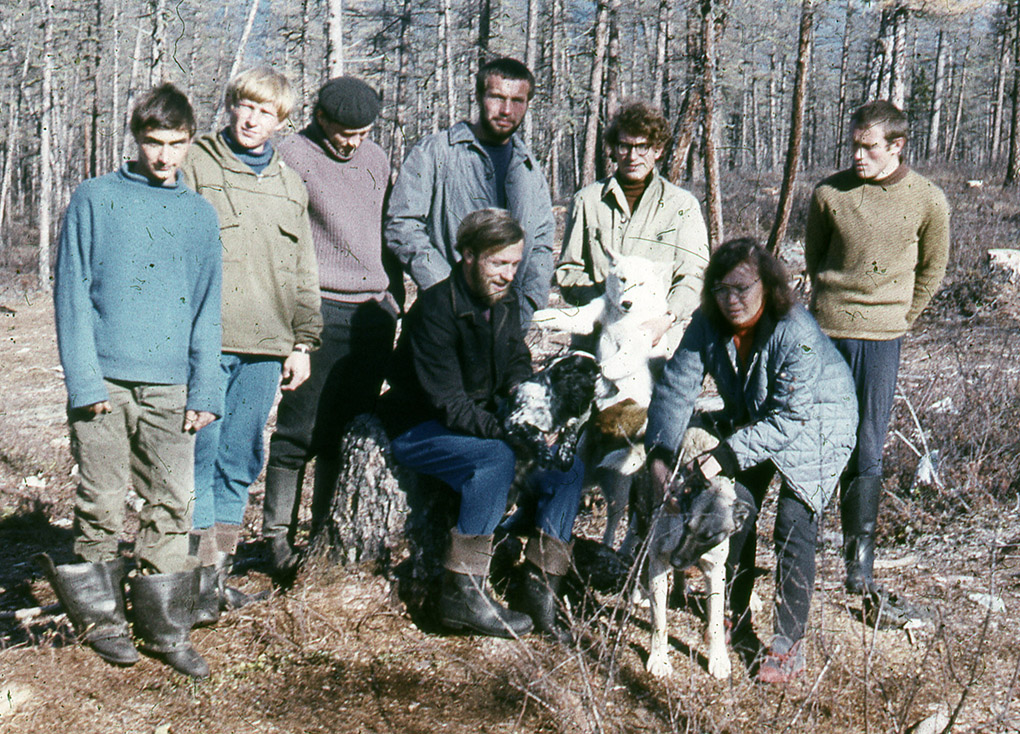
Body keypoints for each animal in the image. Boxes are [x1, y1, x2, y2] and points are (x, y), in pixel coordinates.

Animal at [533, 253, 671, 546]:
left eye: (641, 283)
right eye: (623, 279)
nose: (626, 303)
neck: (623, 319)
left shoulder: (639, 340)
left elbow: (617, 361)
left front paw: (599, 368)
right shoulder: (591, 316)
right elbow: (570, 316)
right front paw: (542, 316)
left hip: (619, 490)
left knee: (616, 524)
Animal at [641, 427, 751, 679]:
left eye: (709, 536)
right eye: (686, 523)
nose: (676, 560)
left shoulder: (715, 571)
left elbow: (716, 621)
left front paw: (718, 658)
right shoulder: (658, 561)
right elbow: (659, 620)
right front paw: (659, 658)